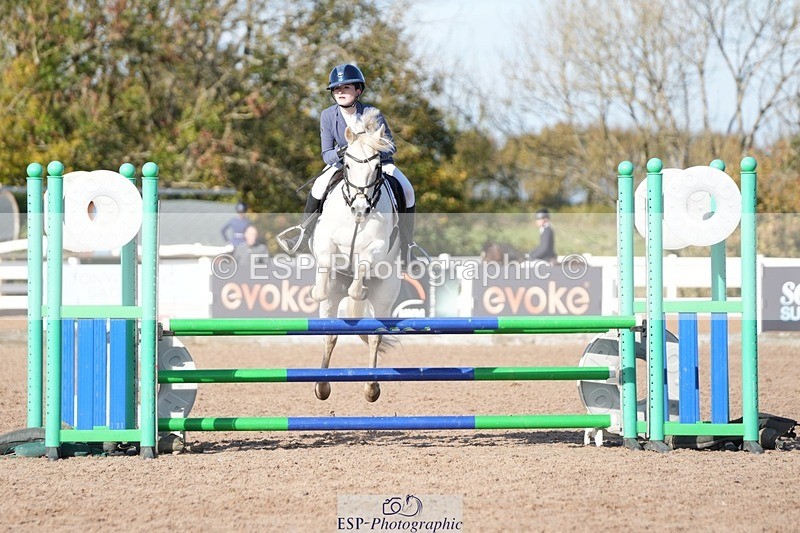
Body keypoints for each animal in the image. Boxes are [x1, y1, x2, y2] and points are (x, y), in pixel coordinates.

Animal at [309, 108, 402, 402]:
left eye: (376, 168)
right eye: (348, 166)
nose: (360, 209)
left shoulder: (378, 247)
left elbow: (362, 266)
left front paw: (357, 292)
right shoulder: (324, 239)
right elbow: (325, 258)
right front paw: (318, 289)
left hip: (385, 296)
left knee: (374, 336)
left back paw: (371, 388)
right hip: (330, 307)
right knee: (329, 335)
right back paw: (322, 386)